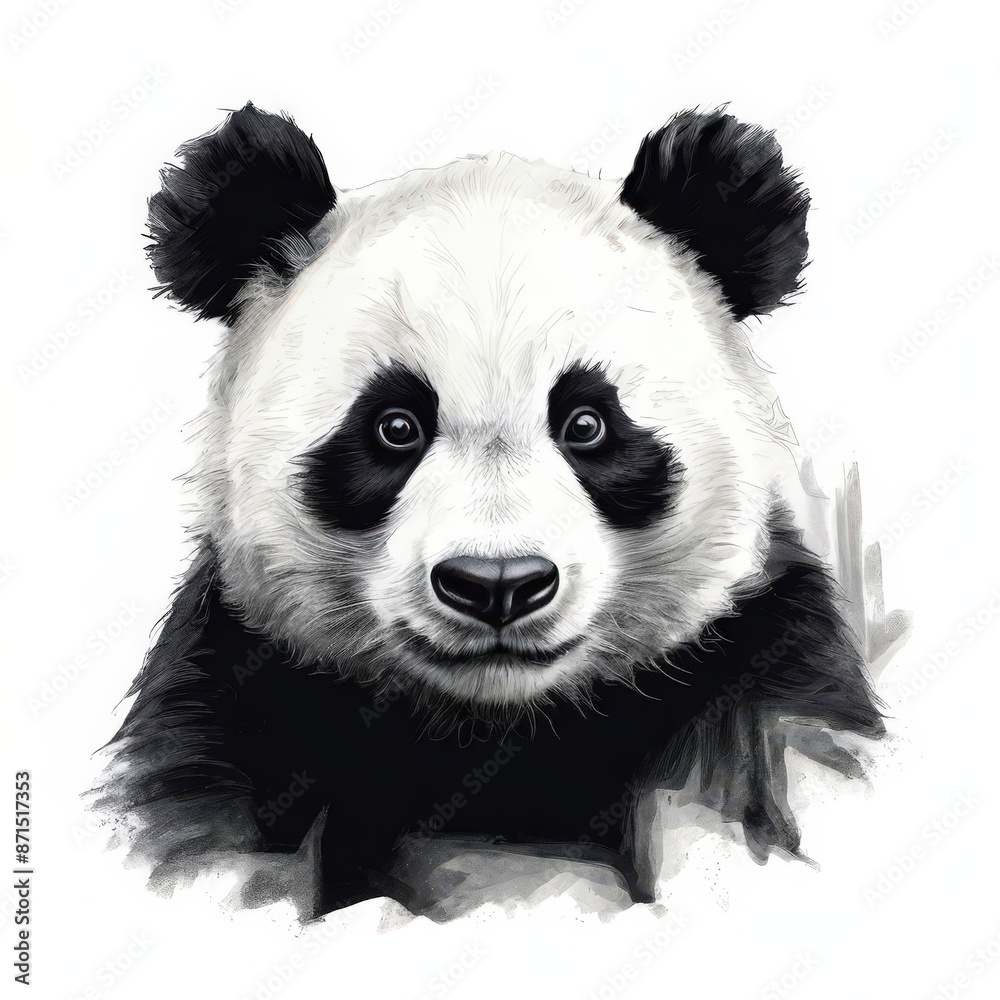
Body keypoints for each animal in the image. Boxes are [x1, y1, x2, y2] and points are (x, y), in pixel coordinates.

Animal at [98, 102, 884, 919]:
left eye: (587, 424)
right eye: (395, 426)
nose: (497, 584)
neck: (494, 730)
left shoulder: (755, 674)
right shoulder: (237, 697)